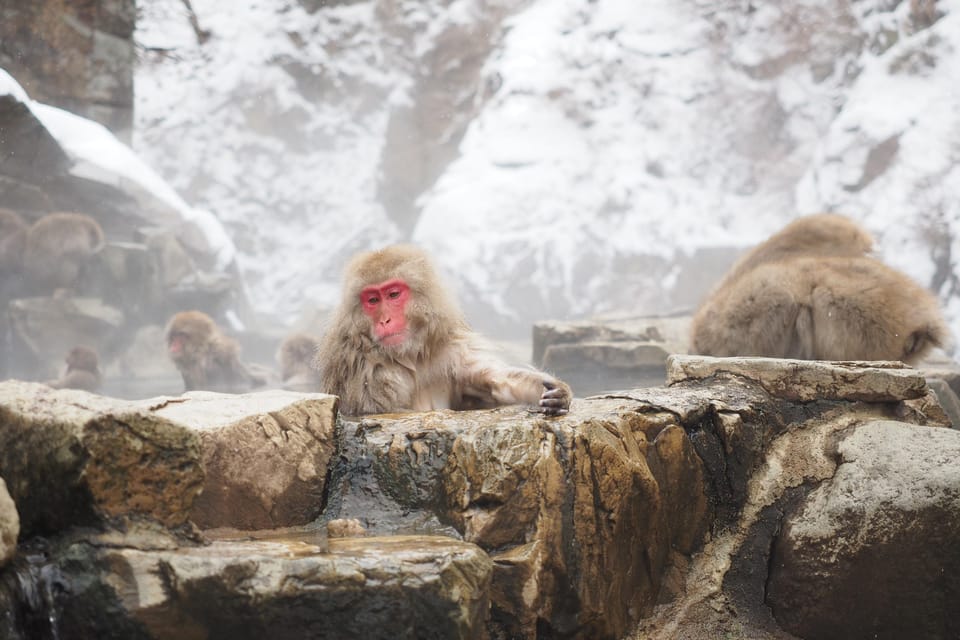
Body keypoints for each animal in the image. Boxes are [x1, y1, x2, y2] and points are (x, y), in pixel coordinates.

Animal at [314, 244, 573, 416]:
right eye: (373, 300)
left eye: (393, 294)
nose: (385, 320)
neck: (410, 356)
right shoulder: (365, 371)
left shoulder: (450, 350)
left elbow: (494, 381)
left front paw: (557, 393)